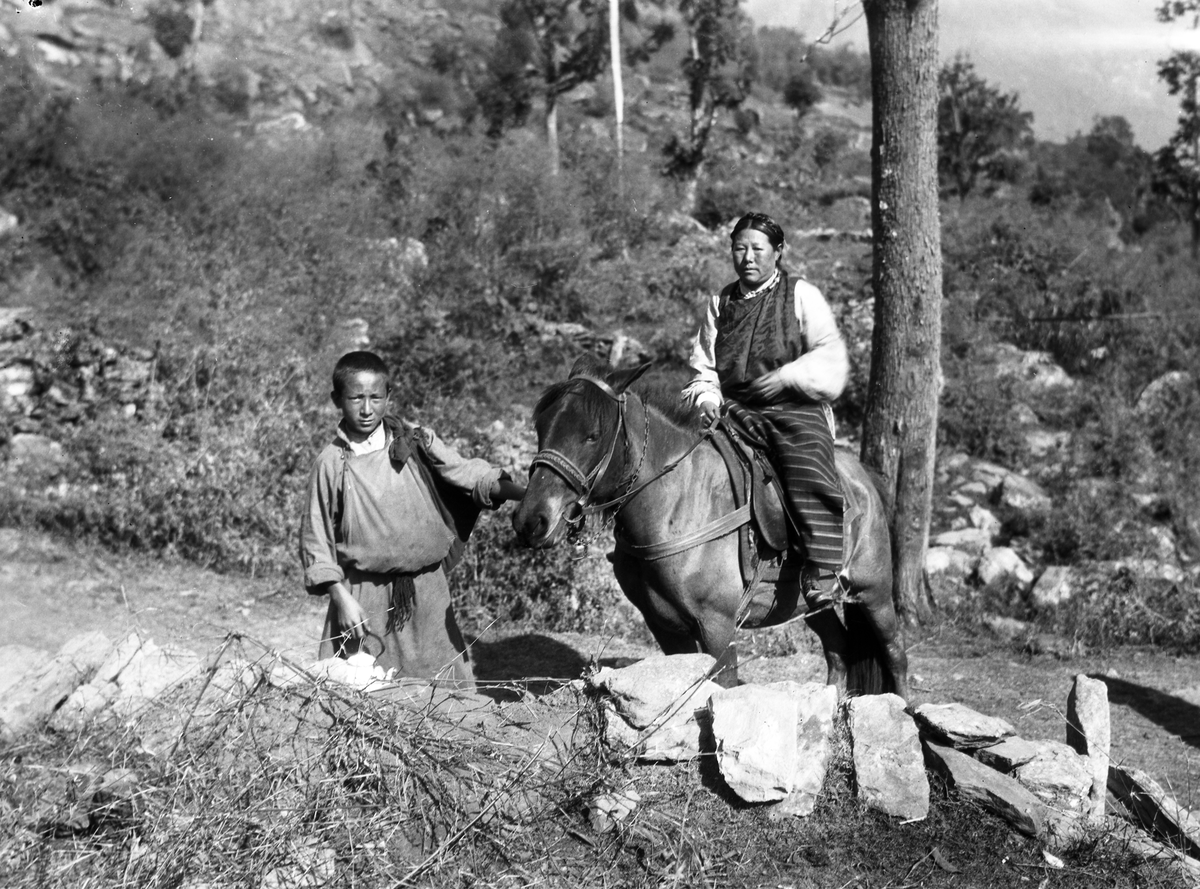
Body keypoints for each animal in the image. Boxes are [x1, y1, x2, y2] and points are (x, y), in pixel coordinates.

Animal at [508, 355, 907, 700]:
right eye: (541, 428)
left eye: (592, 435)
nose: (531, 520)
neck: (677, 505)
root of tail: (863, 478)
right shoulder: (664, 627)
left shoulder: (718, 626)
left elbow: (724, 687)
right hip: (813, 602)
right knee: (837, 648)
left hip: (873, 592)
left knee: (894, 653)